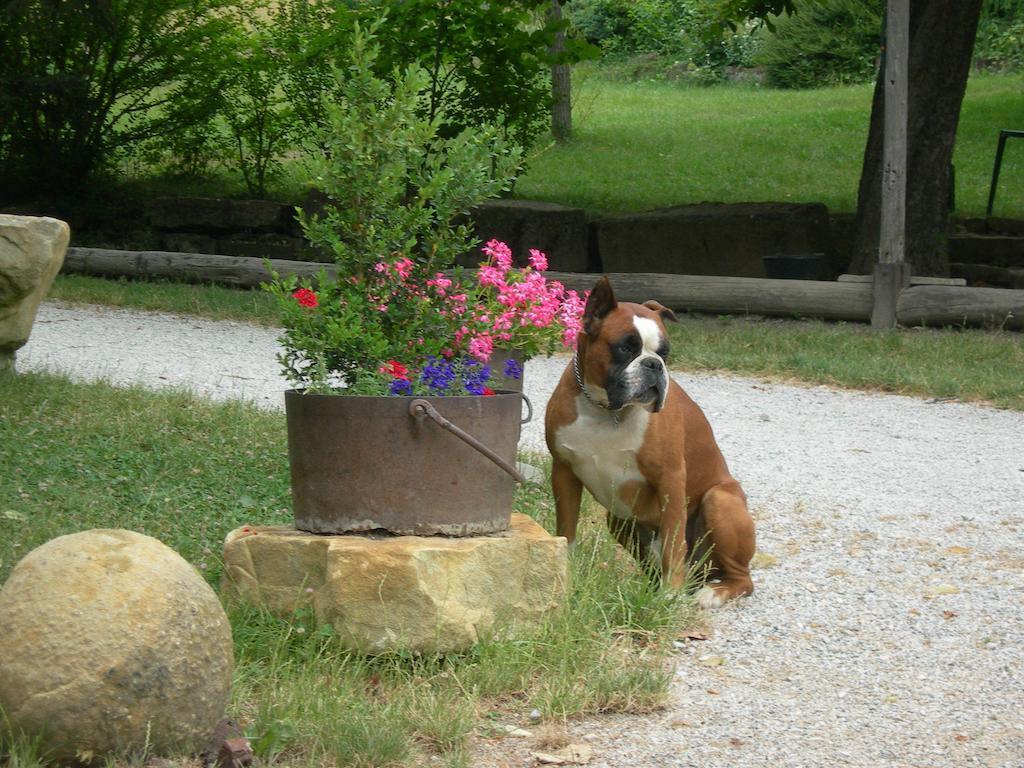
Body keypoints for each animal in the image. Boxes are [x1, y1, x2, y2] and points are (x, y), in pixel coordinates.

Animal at [548, 276, 757, 606]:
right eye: (625, 347)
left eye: (665, 352)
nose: (654, 365)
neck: (607, 411)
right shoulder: (563, 473)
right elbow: (566, 530)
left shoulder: (670, 480)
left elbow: (673, 544)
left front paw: (670, 594)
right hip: (618, 519)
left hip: (719, 500)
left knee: (741, 577)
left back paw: (713, 593)